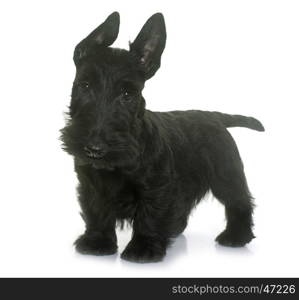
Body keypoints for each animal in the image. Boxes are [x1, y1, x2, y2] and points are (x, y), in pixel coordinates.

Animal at [61, 11, 264, 262]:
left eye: (127, 94)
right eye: (85, 85)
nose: (94, 148)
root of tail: (214, 117)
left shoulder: (157, 187)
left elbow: (151, 215)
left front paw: (143, 247)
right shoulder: (92, 185)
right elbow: (97, 212)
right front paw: (97, 242)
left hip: (227, 175)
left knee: (239, 202)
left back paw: (236, 236)